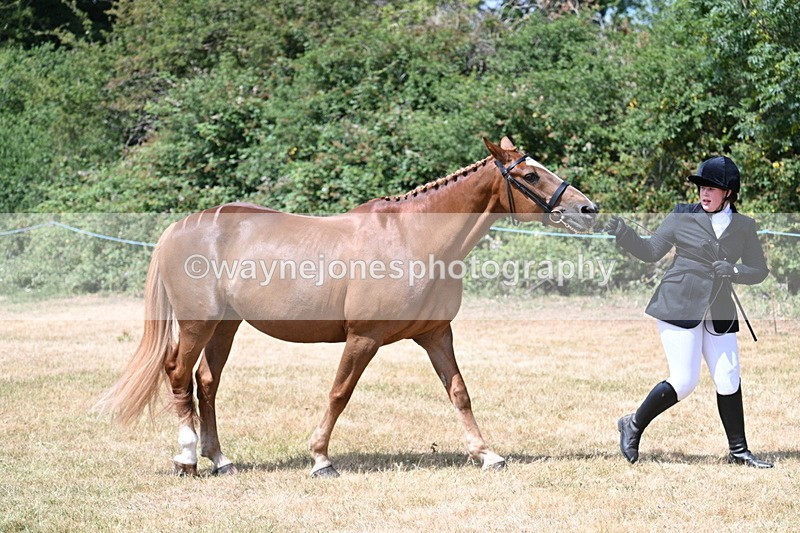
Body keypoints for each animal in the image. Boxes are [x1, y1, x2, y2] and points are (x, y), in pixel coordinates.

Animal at [97, 137, 598, 477]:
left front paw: (486, 454)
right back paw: (186, 460)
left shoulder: (436, 334)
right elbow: (340, 393)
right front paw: (320, 459)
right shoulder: (364, 337)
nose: (587, 209)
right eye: (530, 176)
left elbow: (459, 392)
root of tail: (181, 226)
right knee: (179, 375)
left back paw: (220, 459)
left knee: (206, 383)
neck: (414, 238)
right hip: (197, 324)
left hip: (226, 326)